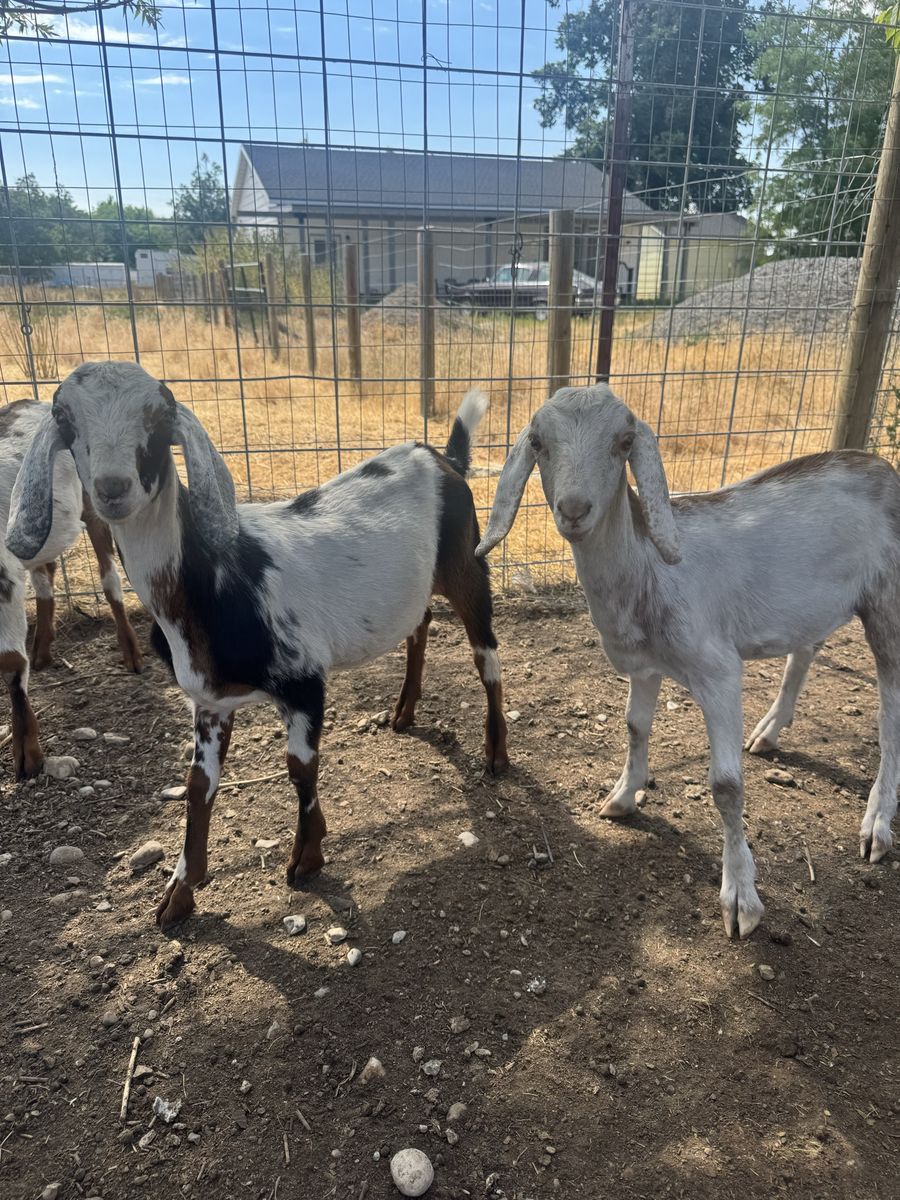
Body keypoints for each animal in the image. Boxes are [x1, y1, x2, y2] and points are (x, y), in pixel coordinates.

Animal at [0, 398, 141, 778]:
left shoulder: (4, 576)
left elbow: (10, 662)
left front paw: (28, 756)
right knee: (45, 573)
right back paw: (42, 650)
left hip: (94, 501)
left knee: (109, 577)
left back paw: (131, 654)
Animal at [476, 383, 900, 939]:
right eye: (538, 442)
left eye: (624, 442)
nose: (574, 508)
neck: (650, 571)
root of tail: (883, 469)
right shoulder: (645, 664)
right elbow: (635, 727)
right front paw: (622, 797)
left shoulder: (717, 670)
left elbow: (726, 786)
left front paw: (741, 898)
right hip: (815, 603)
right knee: (806, 648)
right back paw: (769, 733)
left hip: (887, 600)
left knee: (890, 708)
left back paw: (876, 824)